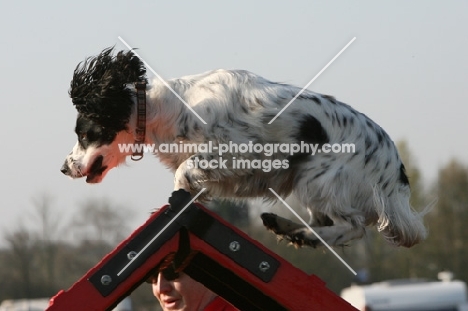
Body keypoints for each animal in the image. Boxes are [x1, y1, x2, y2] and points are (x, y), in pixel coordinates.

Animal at [61, 48, 428, 249]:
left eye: (84, 133)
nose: (64, 168)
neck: (168, 108)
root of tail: (395, 169)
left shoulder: (238, 150)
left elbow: (184, 172)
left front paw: (175, 201)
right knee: (324, 222)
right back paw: (286, 227)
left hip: (318, 180)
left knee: (353, 227)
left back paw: (305, 236)